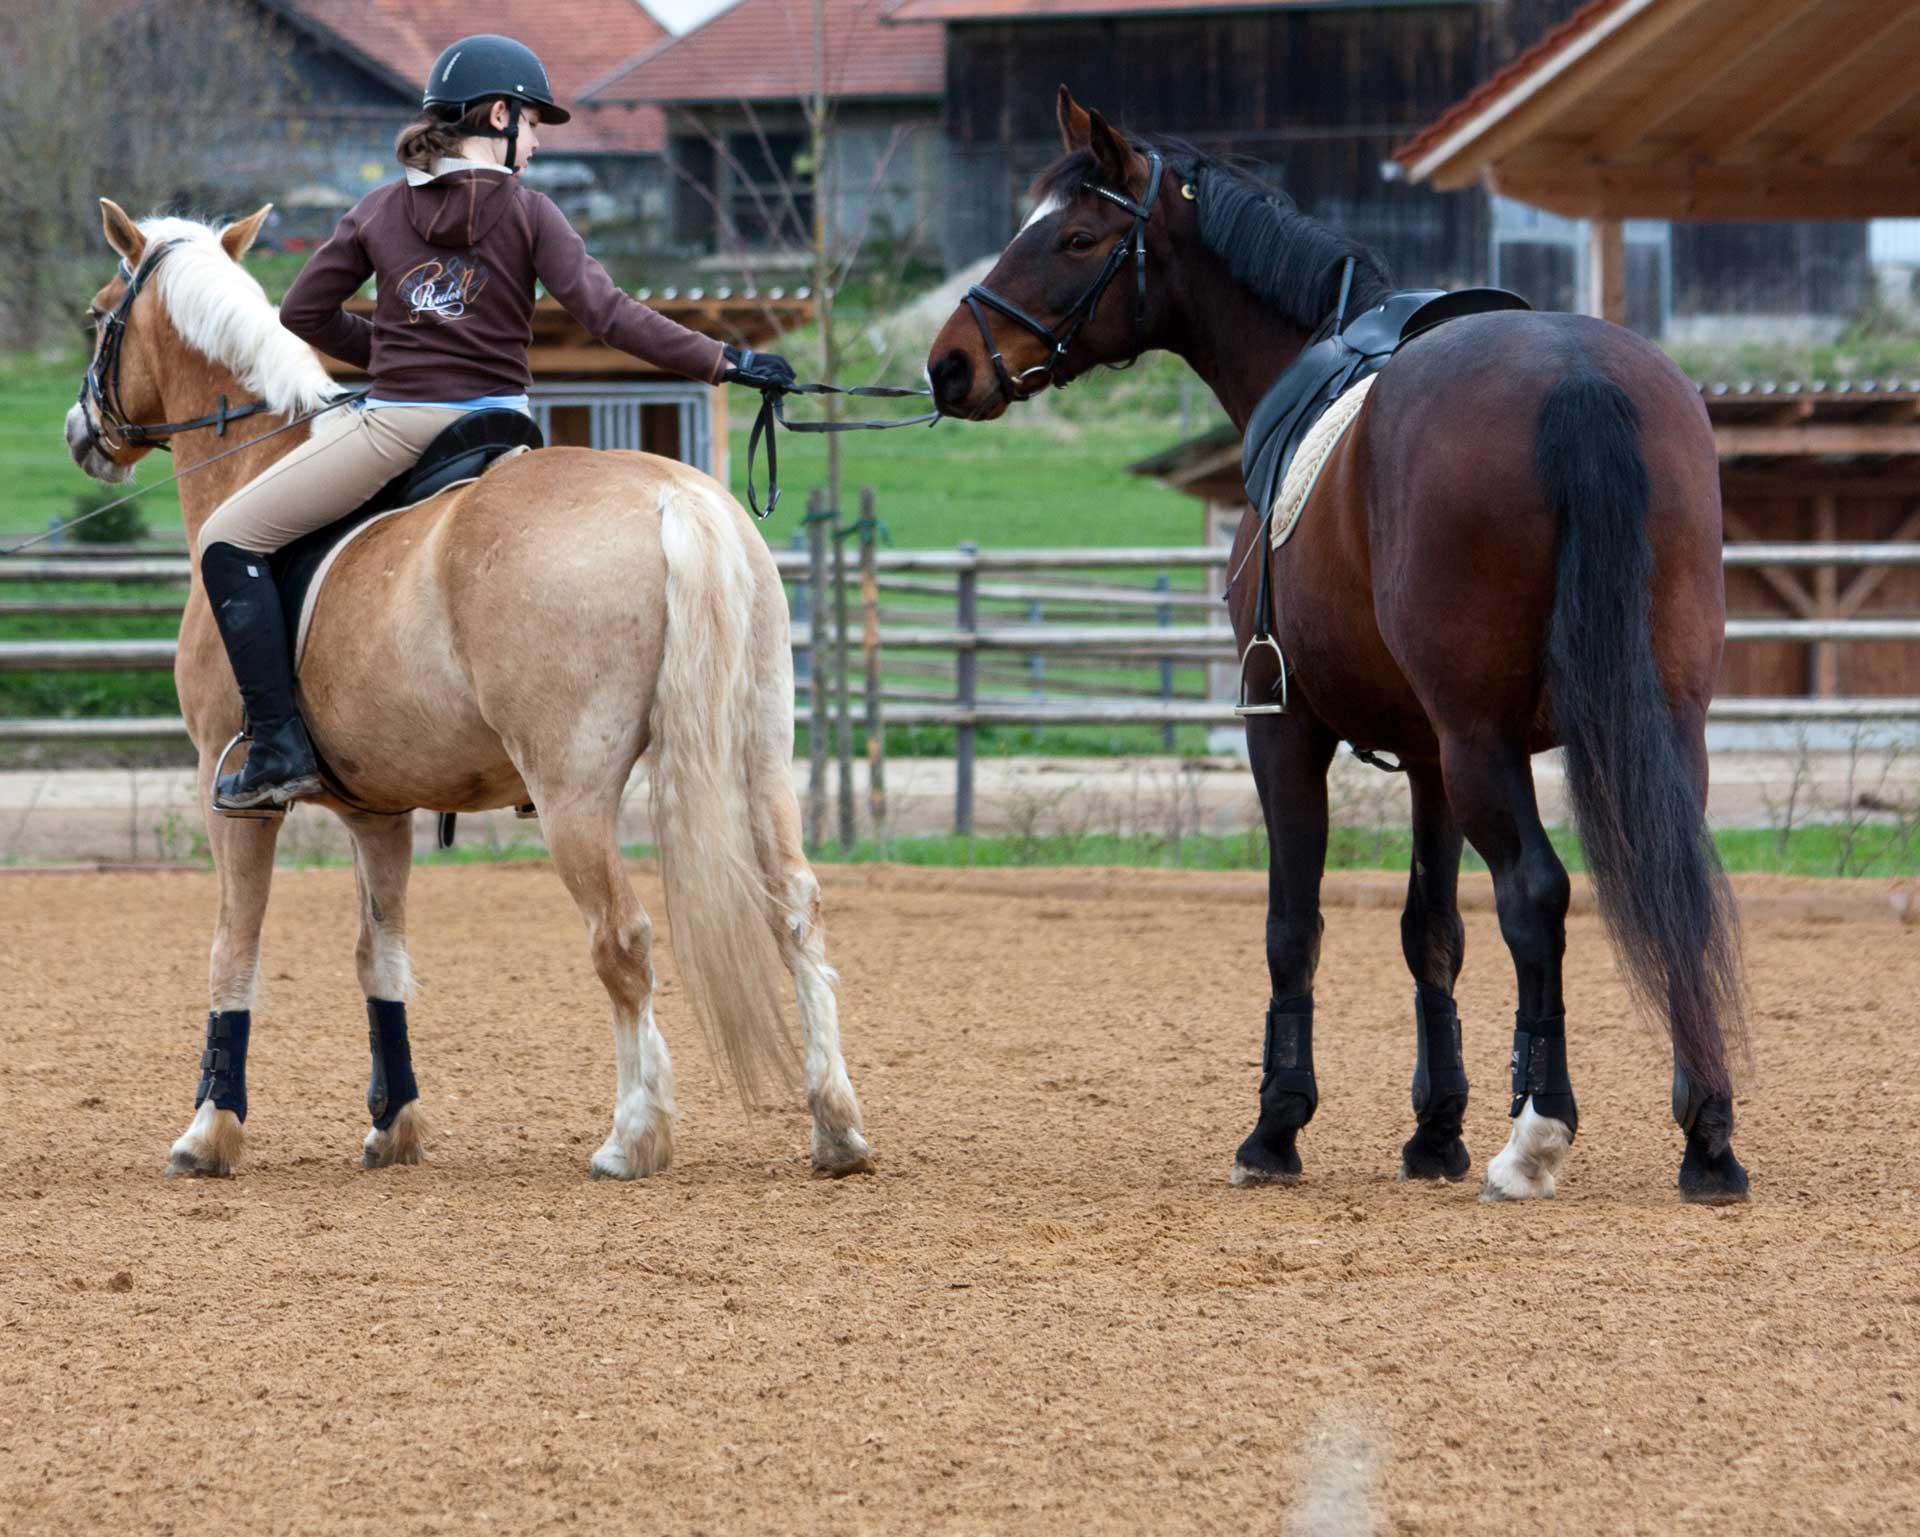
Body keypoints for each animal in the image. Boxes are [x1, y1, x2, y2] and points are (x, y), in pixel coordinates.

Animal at [65, 203, 879, 1182]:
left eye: (97, 314)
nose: (80, 431)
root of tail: (674, 495)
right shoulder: (379, 811)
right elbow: (380, 956)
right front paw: (394, 1125)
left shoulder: (236, 800)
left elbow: (236, 948)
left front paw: (209, 1131)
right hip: (759, 764)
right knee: (795, 910)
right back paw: (834, 1126)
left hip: (572, 795)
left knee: (624, 938)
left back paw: (633, 1135)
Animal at [929, 93, 1758, 1197]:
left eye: (1075, 238)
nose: (950, 361)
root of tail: (1575, 375)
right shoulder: (1428, 759)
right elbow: (1430, 931)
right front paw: (1435, 1129)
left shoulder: (1284, 730)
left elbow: (1295, 926)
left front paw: (1276, 1125)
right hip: (1654, 724)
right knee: (1677, 886)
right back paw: (1707, 1133)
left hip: (1485, 740)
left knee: (1537, 893)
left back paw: (1537, 1134)